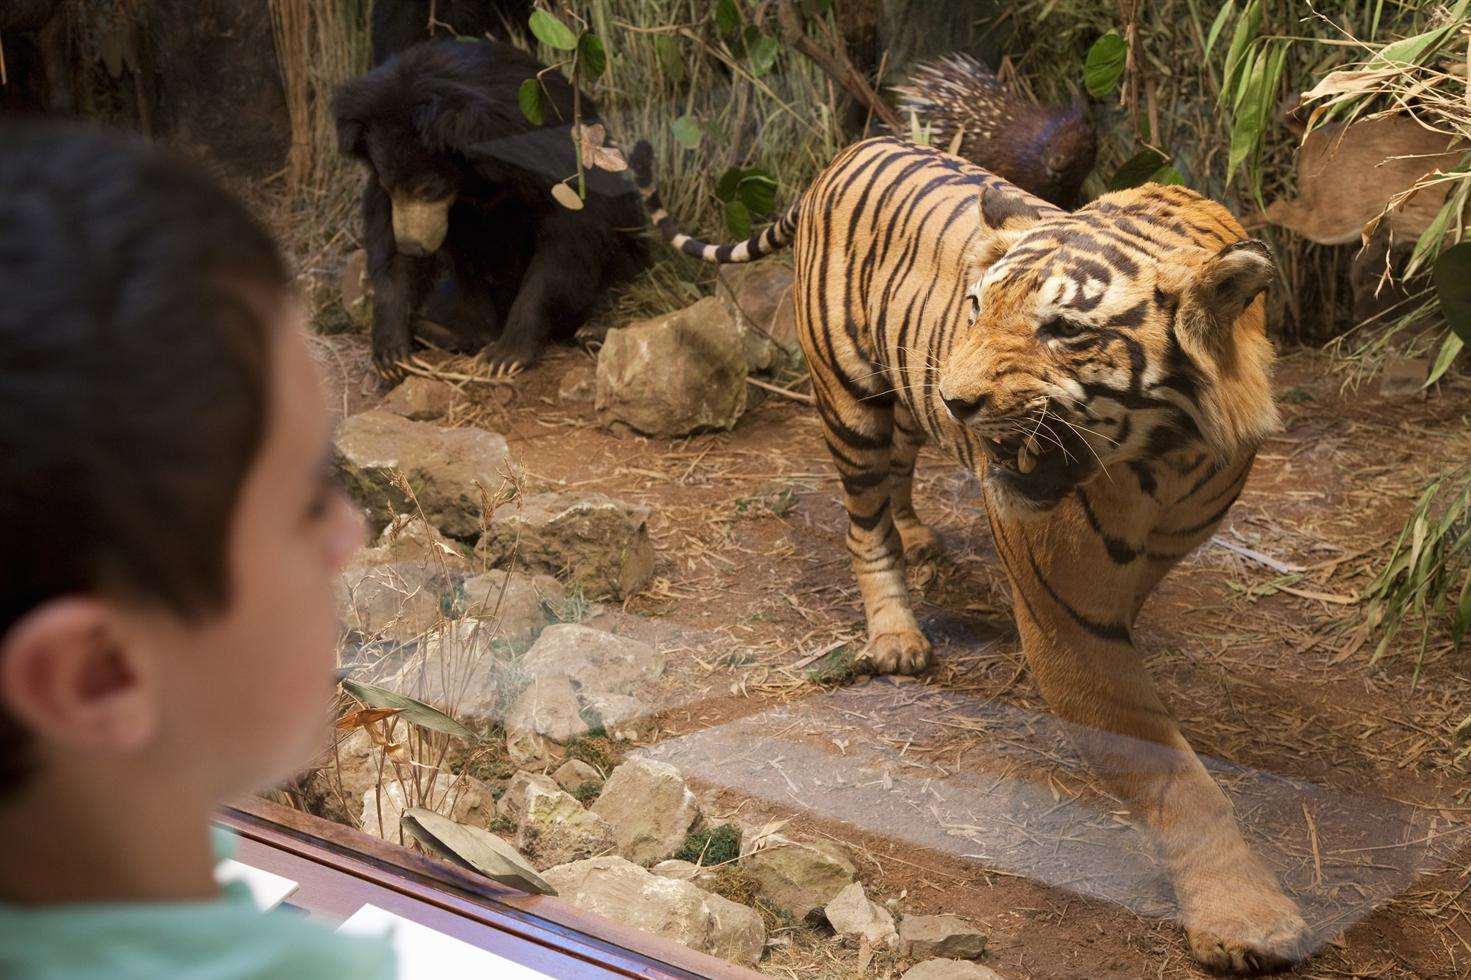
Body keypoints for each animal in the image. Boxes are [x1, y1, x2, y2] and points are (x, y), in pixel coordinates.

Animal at [333, 38, 644, 375]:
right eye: (391, 187)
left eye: (428, 189)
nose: (413, 247)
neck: (471, 176)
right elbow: (386, 236)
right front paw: (391, 352)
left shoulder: (546, 157)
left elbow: (571, 235)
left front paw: (505, 355)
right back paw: (442, 332)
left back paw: (590, 329)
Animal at [632, 135, 1312, 971]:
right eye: (976, 307)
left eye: (1064, 329)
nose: (957, 401)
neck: (1166, 460)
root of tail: (850, 149)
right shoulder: (1066, 621)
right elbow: (1172, 775)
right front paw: (1246, 920)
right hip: (851, 400)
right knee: (862, 522)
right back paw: (895, 634)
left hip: (900, 399)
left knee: (900, 467)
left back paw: (919, 535)